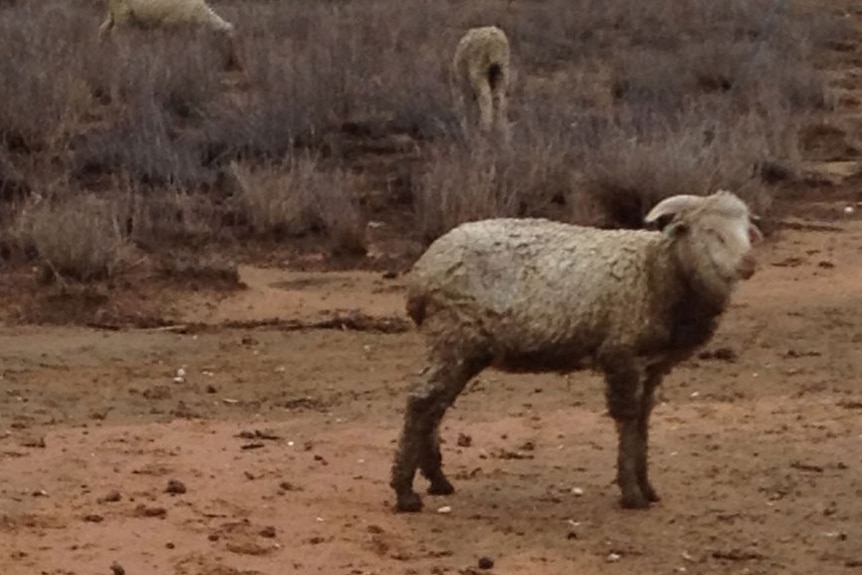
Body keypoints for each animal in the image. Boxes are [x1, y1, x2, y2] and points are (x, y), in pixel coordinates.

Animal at [98, 0, 243, 70]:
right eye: (230, 41)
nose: (234, 62)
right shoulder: (169, 24)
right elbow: (169, 43)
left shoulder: (184, 29)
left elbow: (186, 44)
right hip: (122, 14)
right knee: (116, 34)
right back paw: (122, 55)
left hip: (113, 13)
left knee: (102, 29)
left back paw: (102, 51)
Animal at [392, 191, 764, 516]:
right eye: (711, 231)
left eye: (746, 230)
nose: (749, 262)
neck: (657, 271)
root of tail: (423, 272)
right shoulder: (622, 354)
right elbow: (628, 420)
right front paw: (631, 493)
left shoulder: (653, 365)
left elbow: (643, 421)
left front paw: (647, 487)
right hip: (453, 335)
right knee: (421, 402)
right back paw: (405, 493)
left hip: (466, 348)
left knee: (436, 406)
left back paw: (438, 481)